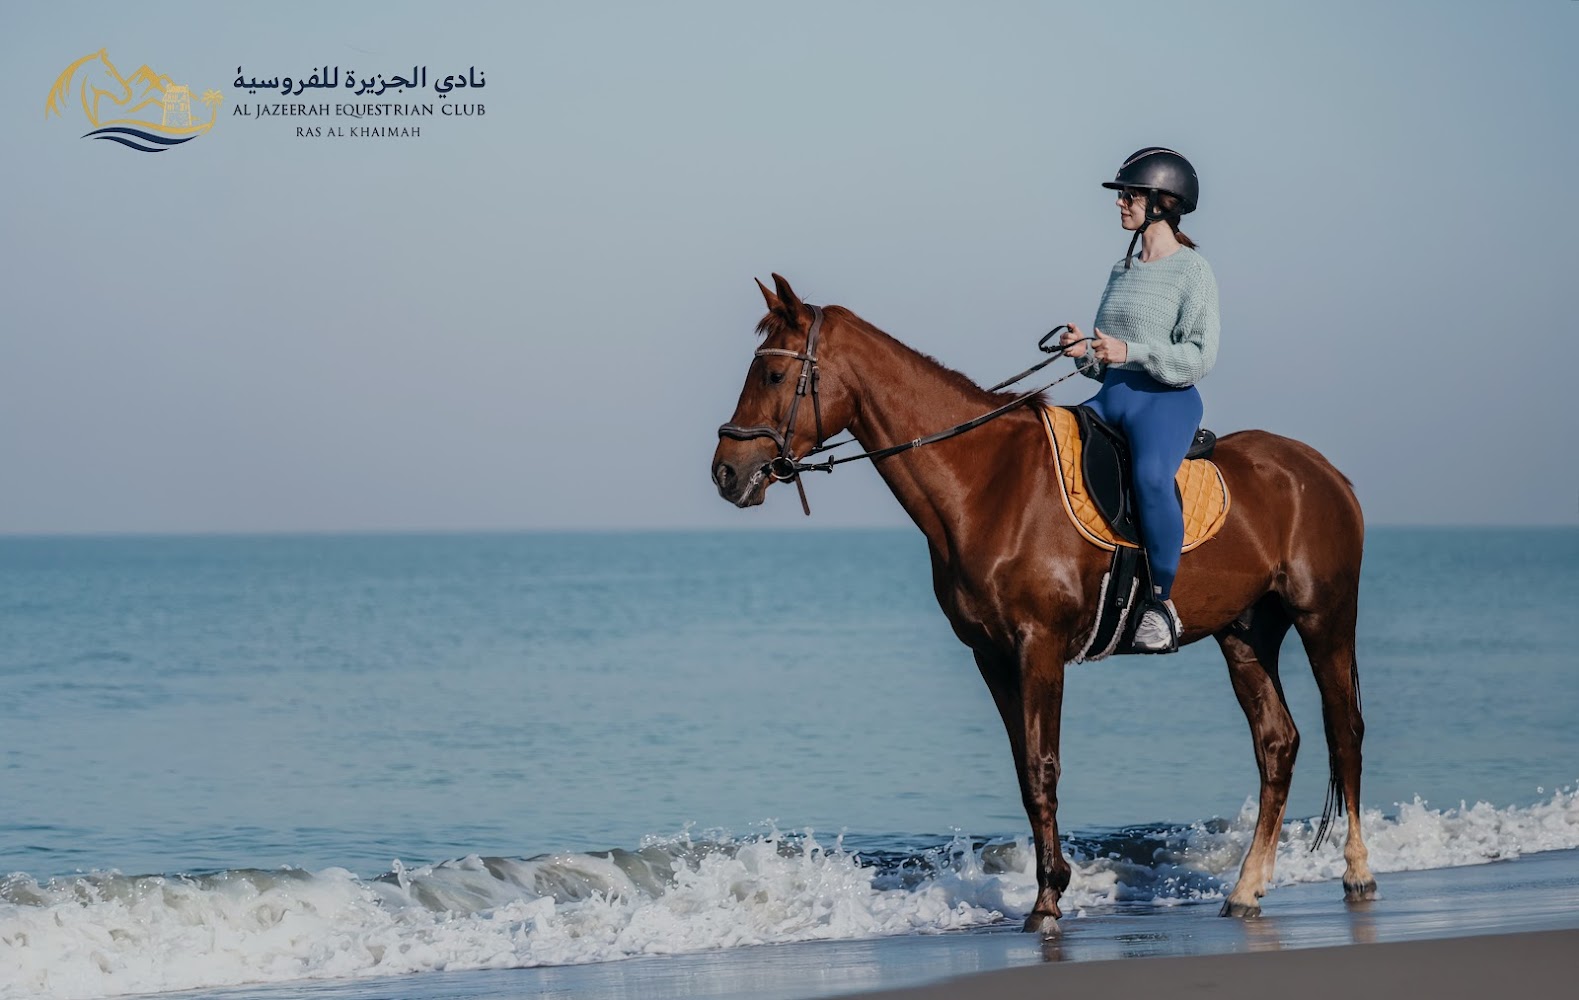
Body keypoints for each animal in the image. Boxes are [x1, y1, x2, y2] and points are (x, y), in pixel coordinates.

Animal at [711, 274, 1374, 933]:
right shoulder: (993, 656)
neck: (985, 483)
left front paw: (1049, 901)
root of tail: (1325, 472)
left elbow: (1043, 766)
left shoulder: (1040, 647)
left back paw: (1357, 872)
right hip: (1245, 634)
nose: (725, 473)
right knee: (1277, 745)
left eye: (774, 375)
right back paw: (1246, 889)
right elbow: (1024, 771)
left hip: (1325, 619)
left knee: (1345, 731)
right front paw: (1048, 891)